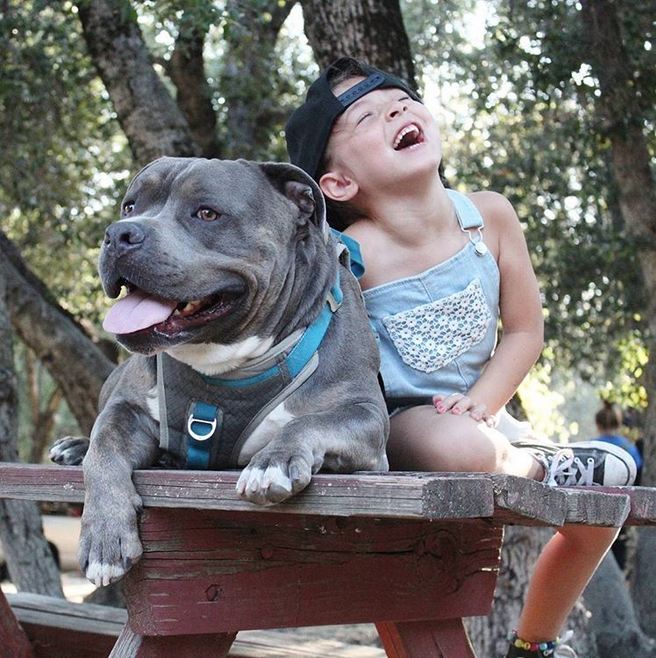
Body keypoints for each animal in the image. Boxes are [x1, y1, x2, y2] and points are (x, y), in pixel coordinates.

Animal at [52, 158, 390, 584]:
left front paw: (271, 462)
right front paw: (104, 536)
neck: (226, 362)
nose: (118, 233)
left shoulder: (367, 418)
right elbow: (104, 447)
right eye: (130, 206)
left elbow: (310, 422)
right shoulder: (127, 407)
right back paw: (75, 447)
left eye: (207, 214)